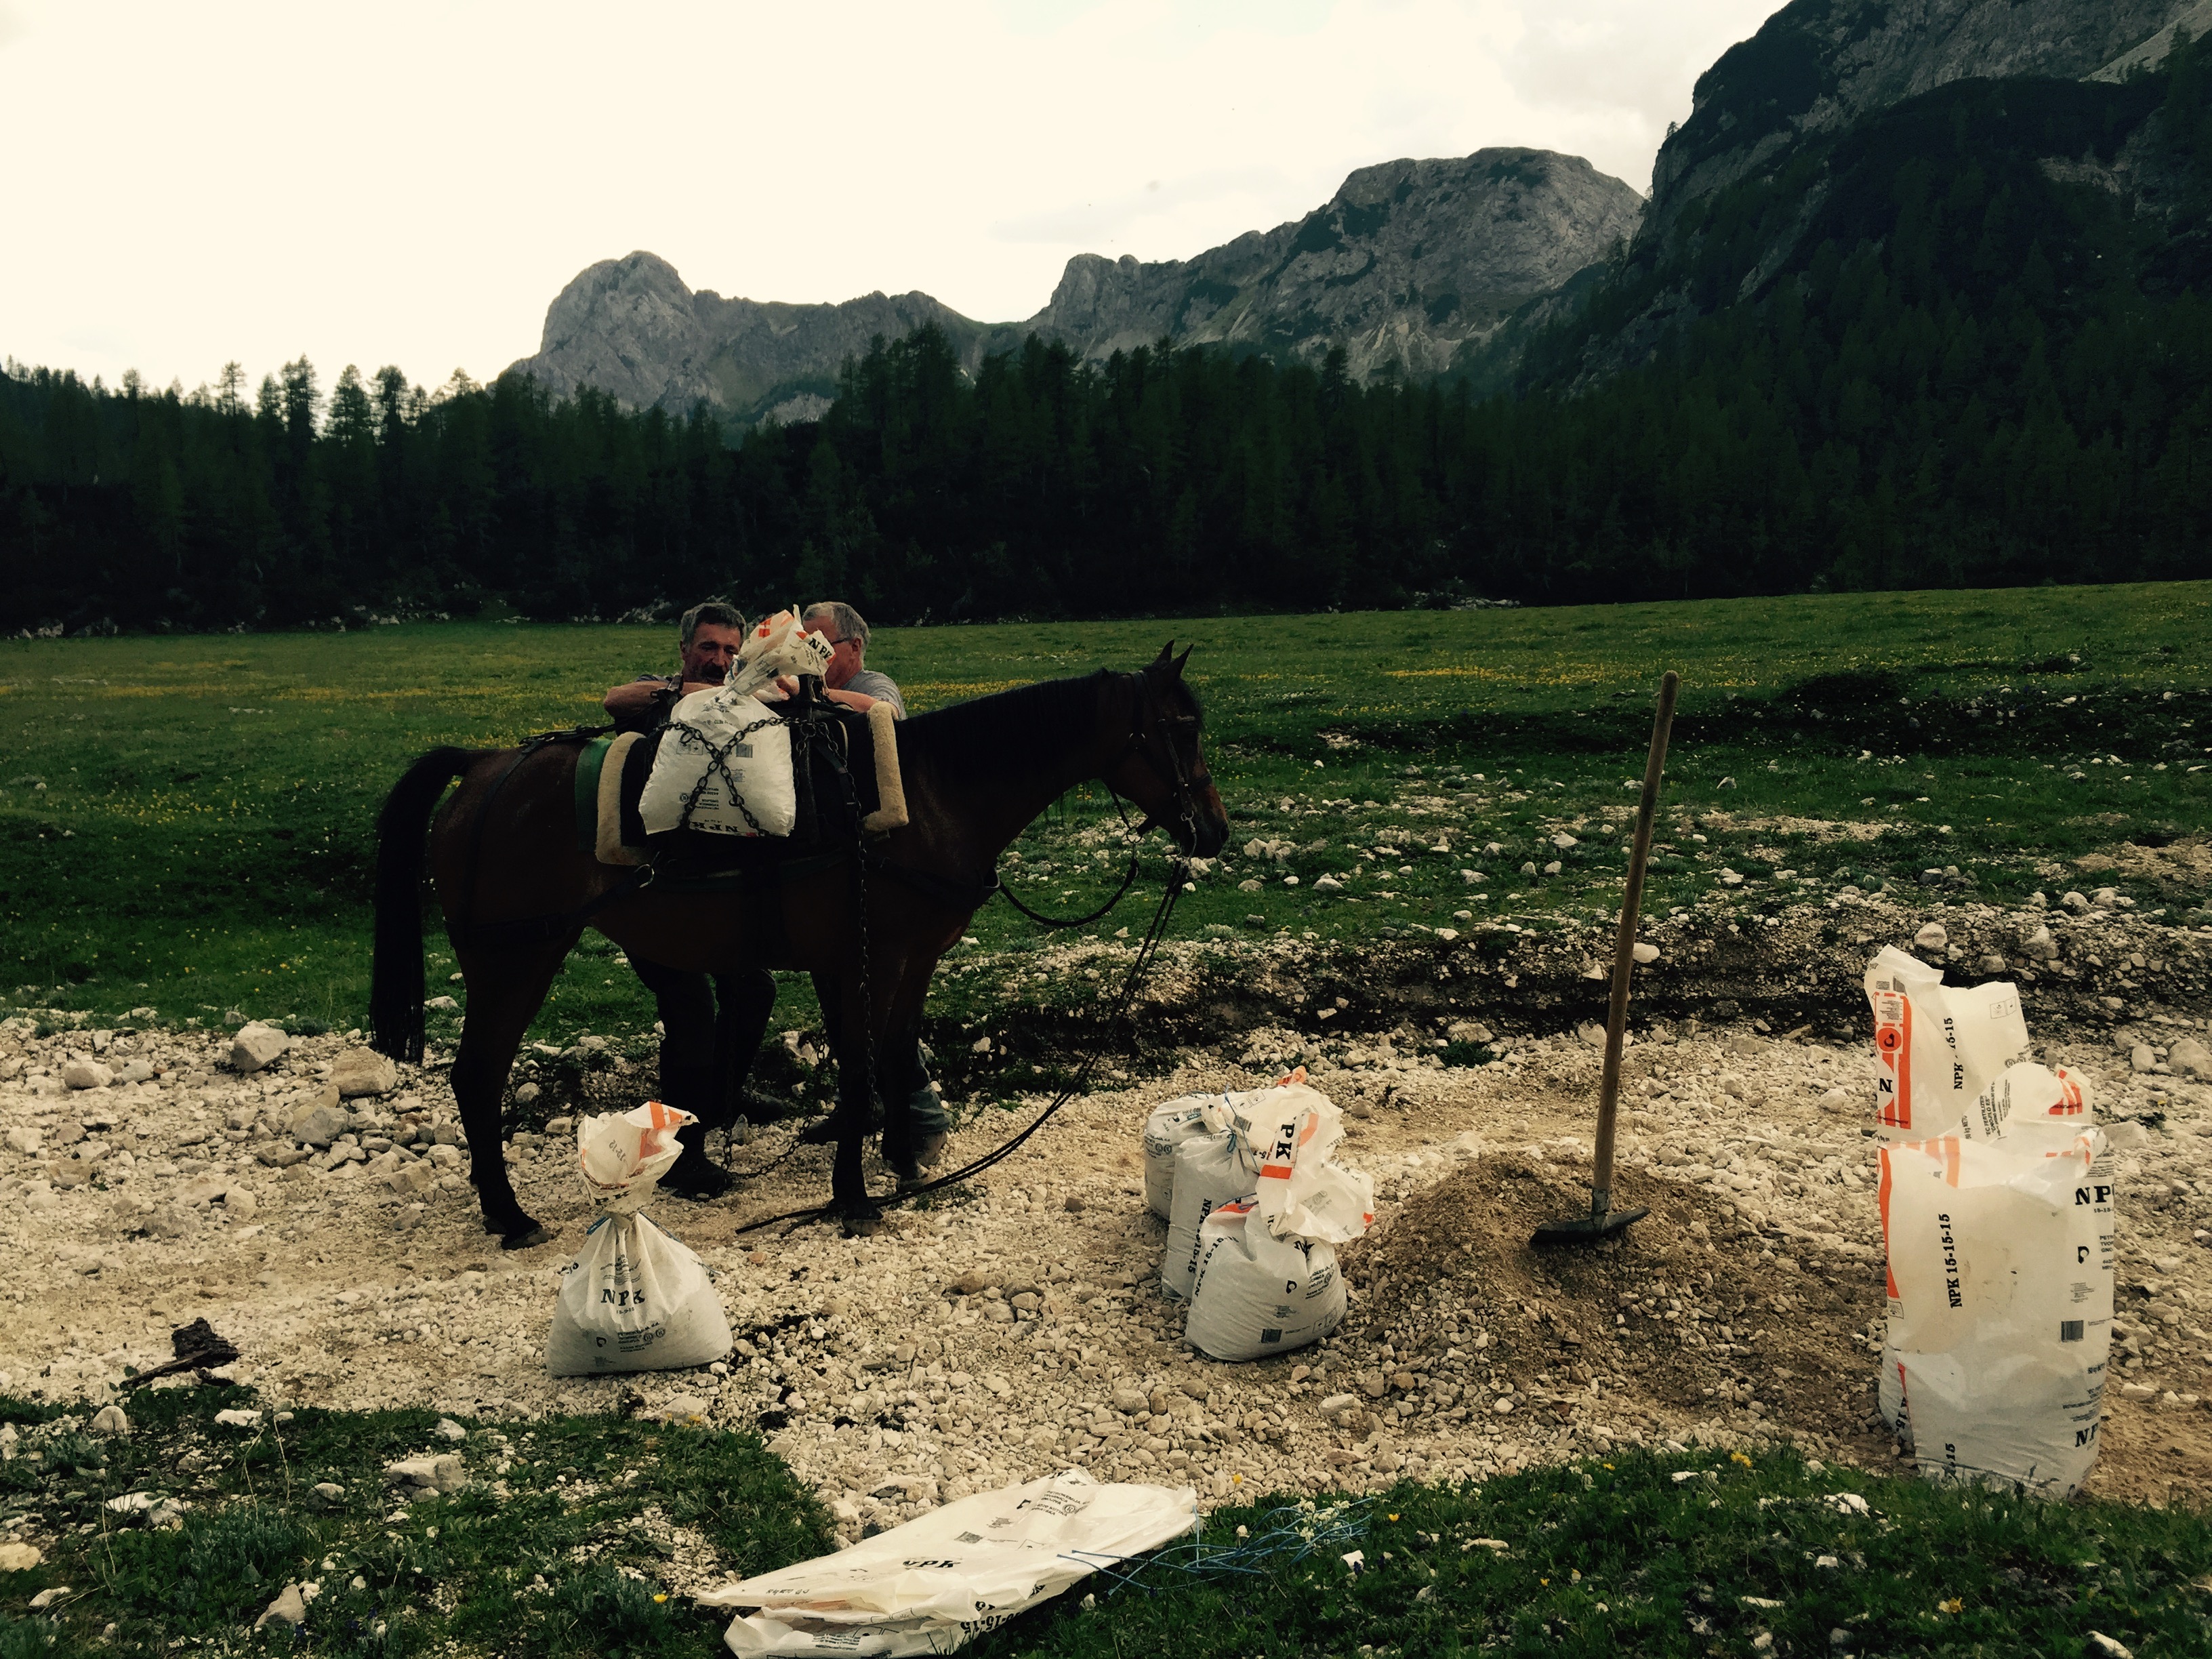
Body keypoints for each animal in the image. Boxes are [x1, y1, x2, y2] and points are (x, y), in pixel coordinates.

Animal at [363, 646, 1229, 1247]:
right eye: (1181, 729)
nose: (1214, 831)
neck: (932, 796)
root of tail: (483, 769)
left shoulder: (911, 959)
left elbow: (894, 1052)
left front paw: (904, 1162)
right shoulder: (865, 961)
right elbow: (857, 1069)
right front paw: (853, 1195)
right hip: (514, 960)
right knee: (477, 1076)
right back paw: (509, 1214)